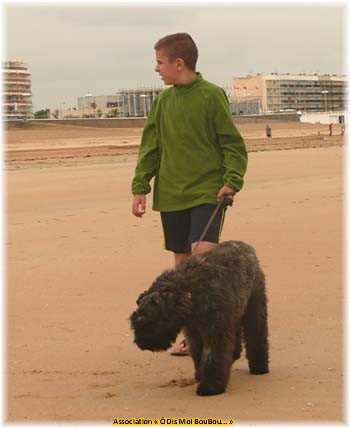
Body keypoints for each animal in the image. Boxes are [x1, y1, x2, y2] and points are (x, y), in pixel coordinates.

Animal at [130, 239, 270, 396]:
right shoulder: (194, 331)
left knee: (257, 336)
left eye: (149, 322)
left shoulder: (215, 329)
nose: (140, 343)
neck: (189, 291)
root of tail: (246, 246)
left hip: (255, 308)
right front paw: (200, 375)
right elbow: (198, 353)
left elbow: (212, 356)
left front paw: (210, 386)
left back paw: (259, 367)